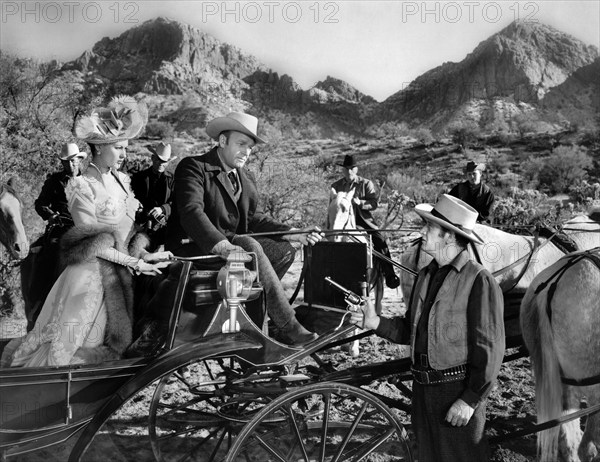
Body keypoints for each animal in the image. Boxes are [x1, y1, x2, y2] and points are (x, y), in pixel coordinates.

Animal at [328, 189, 384, 358]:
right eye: (330, 209)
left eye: (346, 209)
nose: (333, 236)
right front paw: (343, 342)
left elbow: (358, 309)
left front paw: (354, 347)